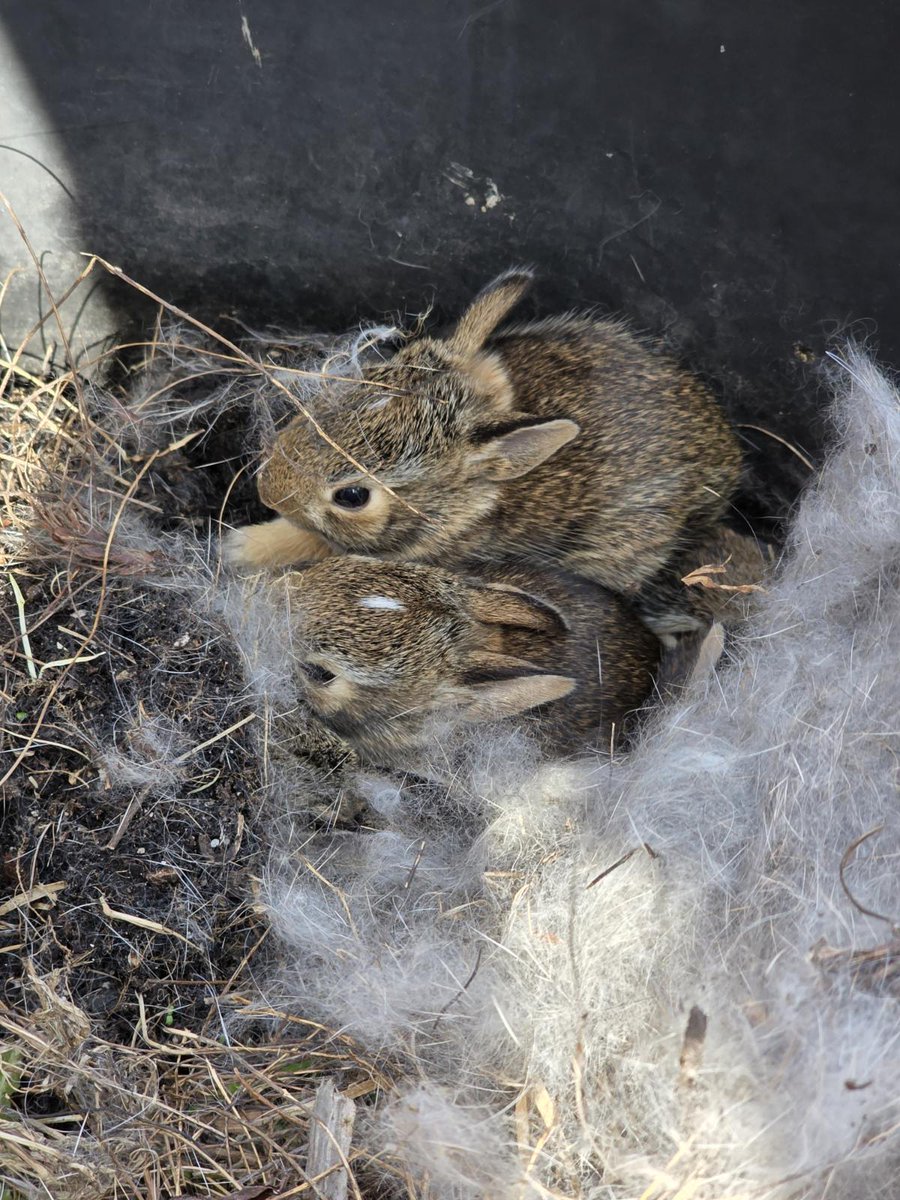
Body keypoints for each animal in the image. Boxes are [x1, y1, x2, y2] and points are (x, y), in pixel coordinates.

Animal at [224, 268, 743, 629]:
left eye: (353, 496)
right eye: (350, 390)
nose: (268, 490)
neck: (465, 499)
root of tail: (729, 464)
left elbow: (311, 540)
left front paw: (240, 548)